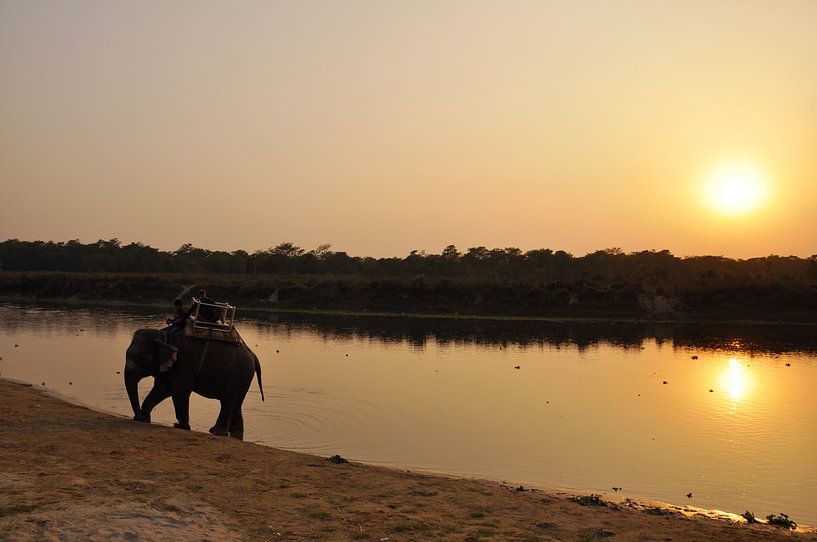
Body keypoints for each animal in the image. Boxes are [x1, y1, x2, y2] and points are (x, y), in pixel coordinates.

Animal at [124, 328, 264, 440]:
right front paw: (145, 418)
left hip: (237, 374)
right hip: (243, 378)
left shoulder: (184, 364)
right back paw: (235, 433)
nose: (138, 417)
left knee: (227, 401)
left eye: (144, 358)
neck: (165, 337)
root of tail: (253, 355)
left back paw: (216, 432)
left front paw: (180, 426)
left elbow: (178, 391)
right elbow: (162, 389)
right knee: (236, 403)